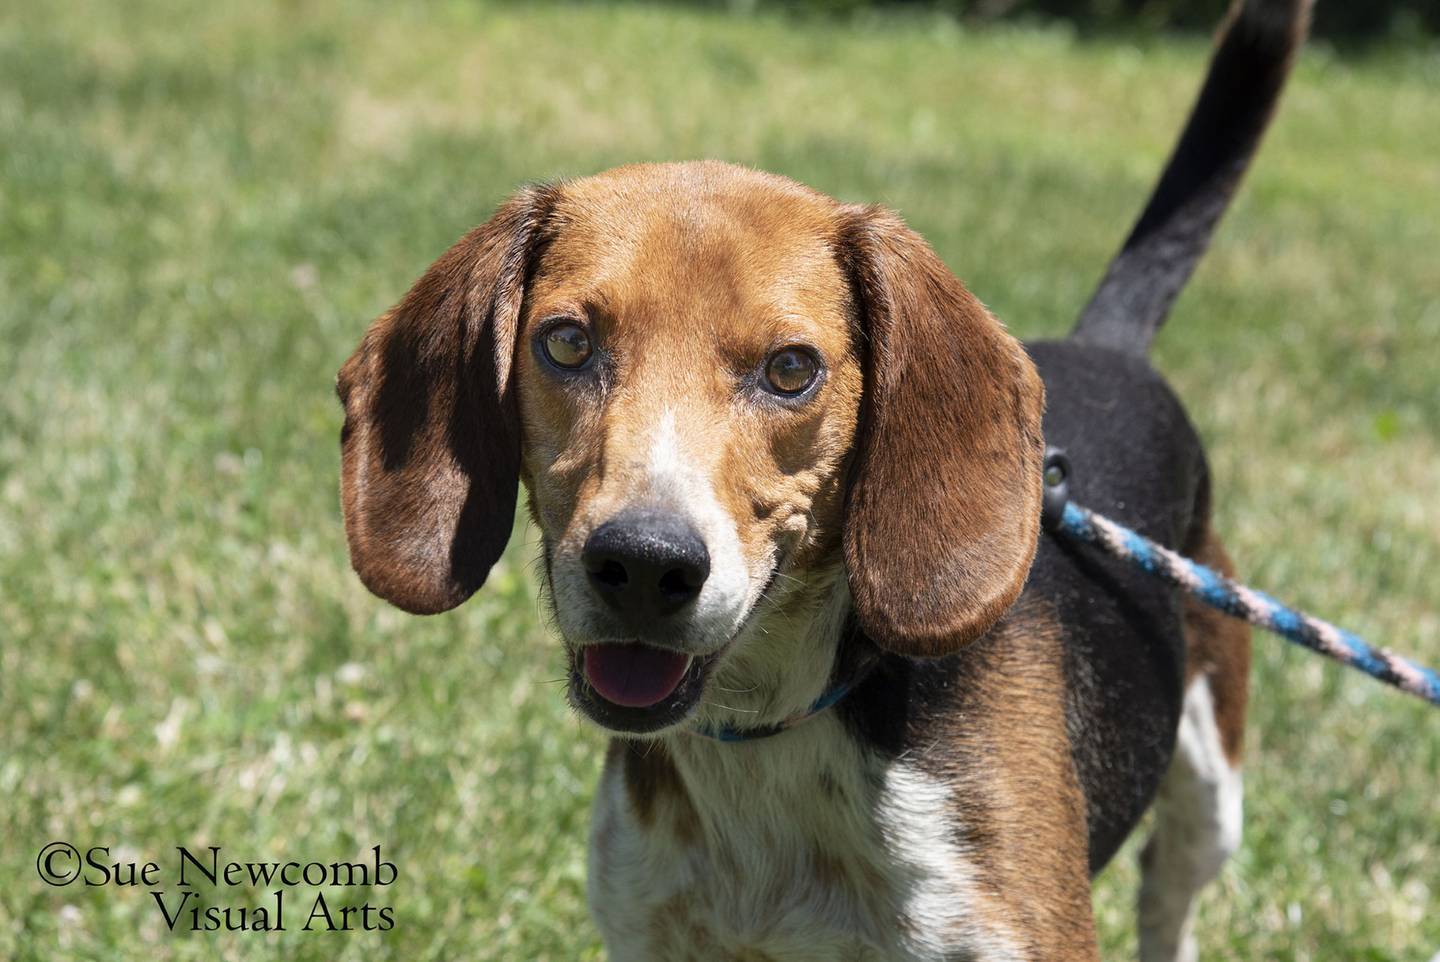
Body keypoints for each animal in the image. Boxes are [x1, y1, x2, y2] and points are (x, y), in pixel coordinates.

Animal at [336, 3, 1319, 956]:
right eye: (568, 343)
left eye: (791, 369)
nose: (645, 565)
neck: (771, 737)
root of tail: (1108, 348)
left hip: (1211, 796)